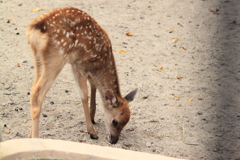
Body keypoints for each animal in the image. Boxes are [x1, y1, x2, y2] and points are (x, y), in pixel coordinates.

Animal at [26, 7, 137, 144]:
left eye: (126, 123)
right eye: (115, 121)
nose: (114, 140)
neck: (101, 62)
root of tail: (36, 28)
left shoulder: (87, 69)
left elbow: (93, 86)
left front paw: (92, 117)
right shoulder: (78, 65)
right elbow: (84, 95)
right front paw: (91, 131)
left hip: (38, 58)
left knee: (32, 90)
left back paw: (29, 136)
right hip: (56, 56)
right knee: (38, 94)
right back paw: (35, 139)